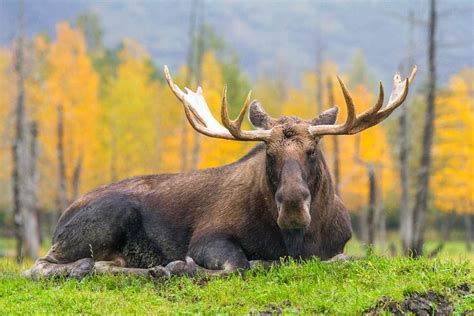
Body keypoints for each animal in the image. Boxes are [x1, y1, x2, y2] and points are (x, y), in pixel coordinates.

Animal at [24, 65, 416, 278]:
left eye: (313, 149)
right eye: (269, 152)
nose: (292, 205)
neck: (293, 240)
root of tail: (61, 218)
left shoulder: (338, 247)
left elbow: (342, 259)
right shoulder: (207, 237)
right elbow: (239, 264)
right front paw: (181, 266)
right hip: (108, 216)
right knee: (38, 265)